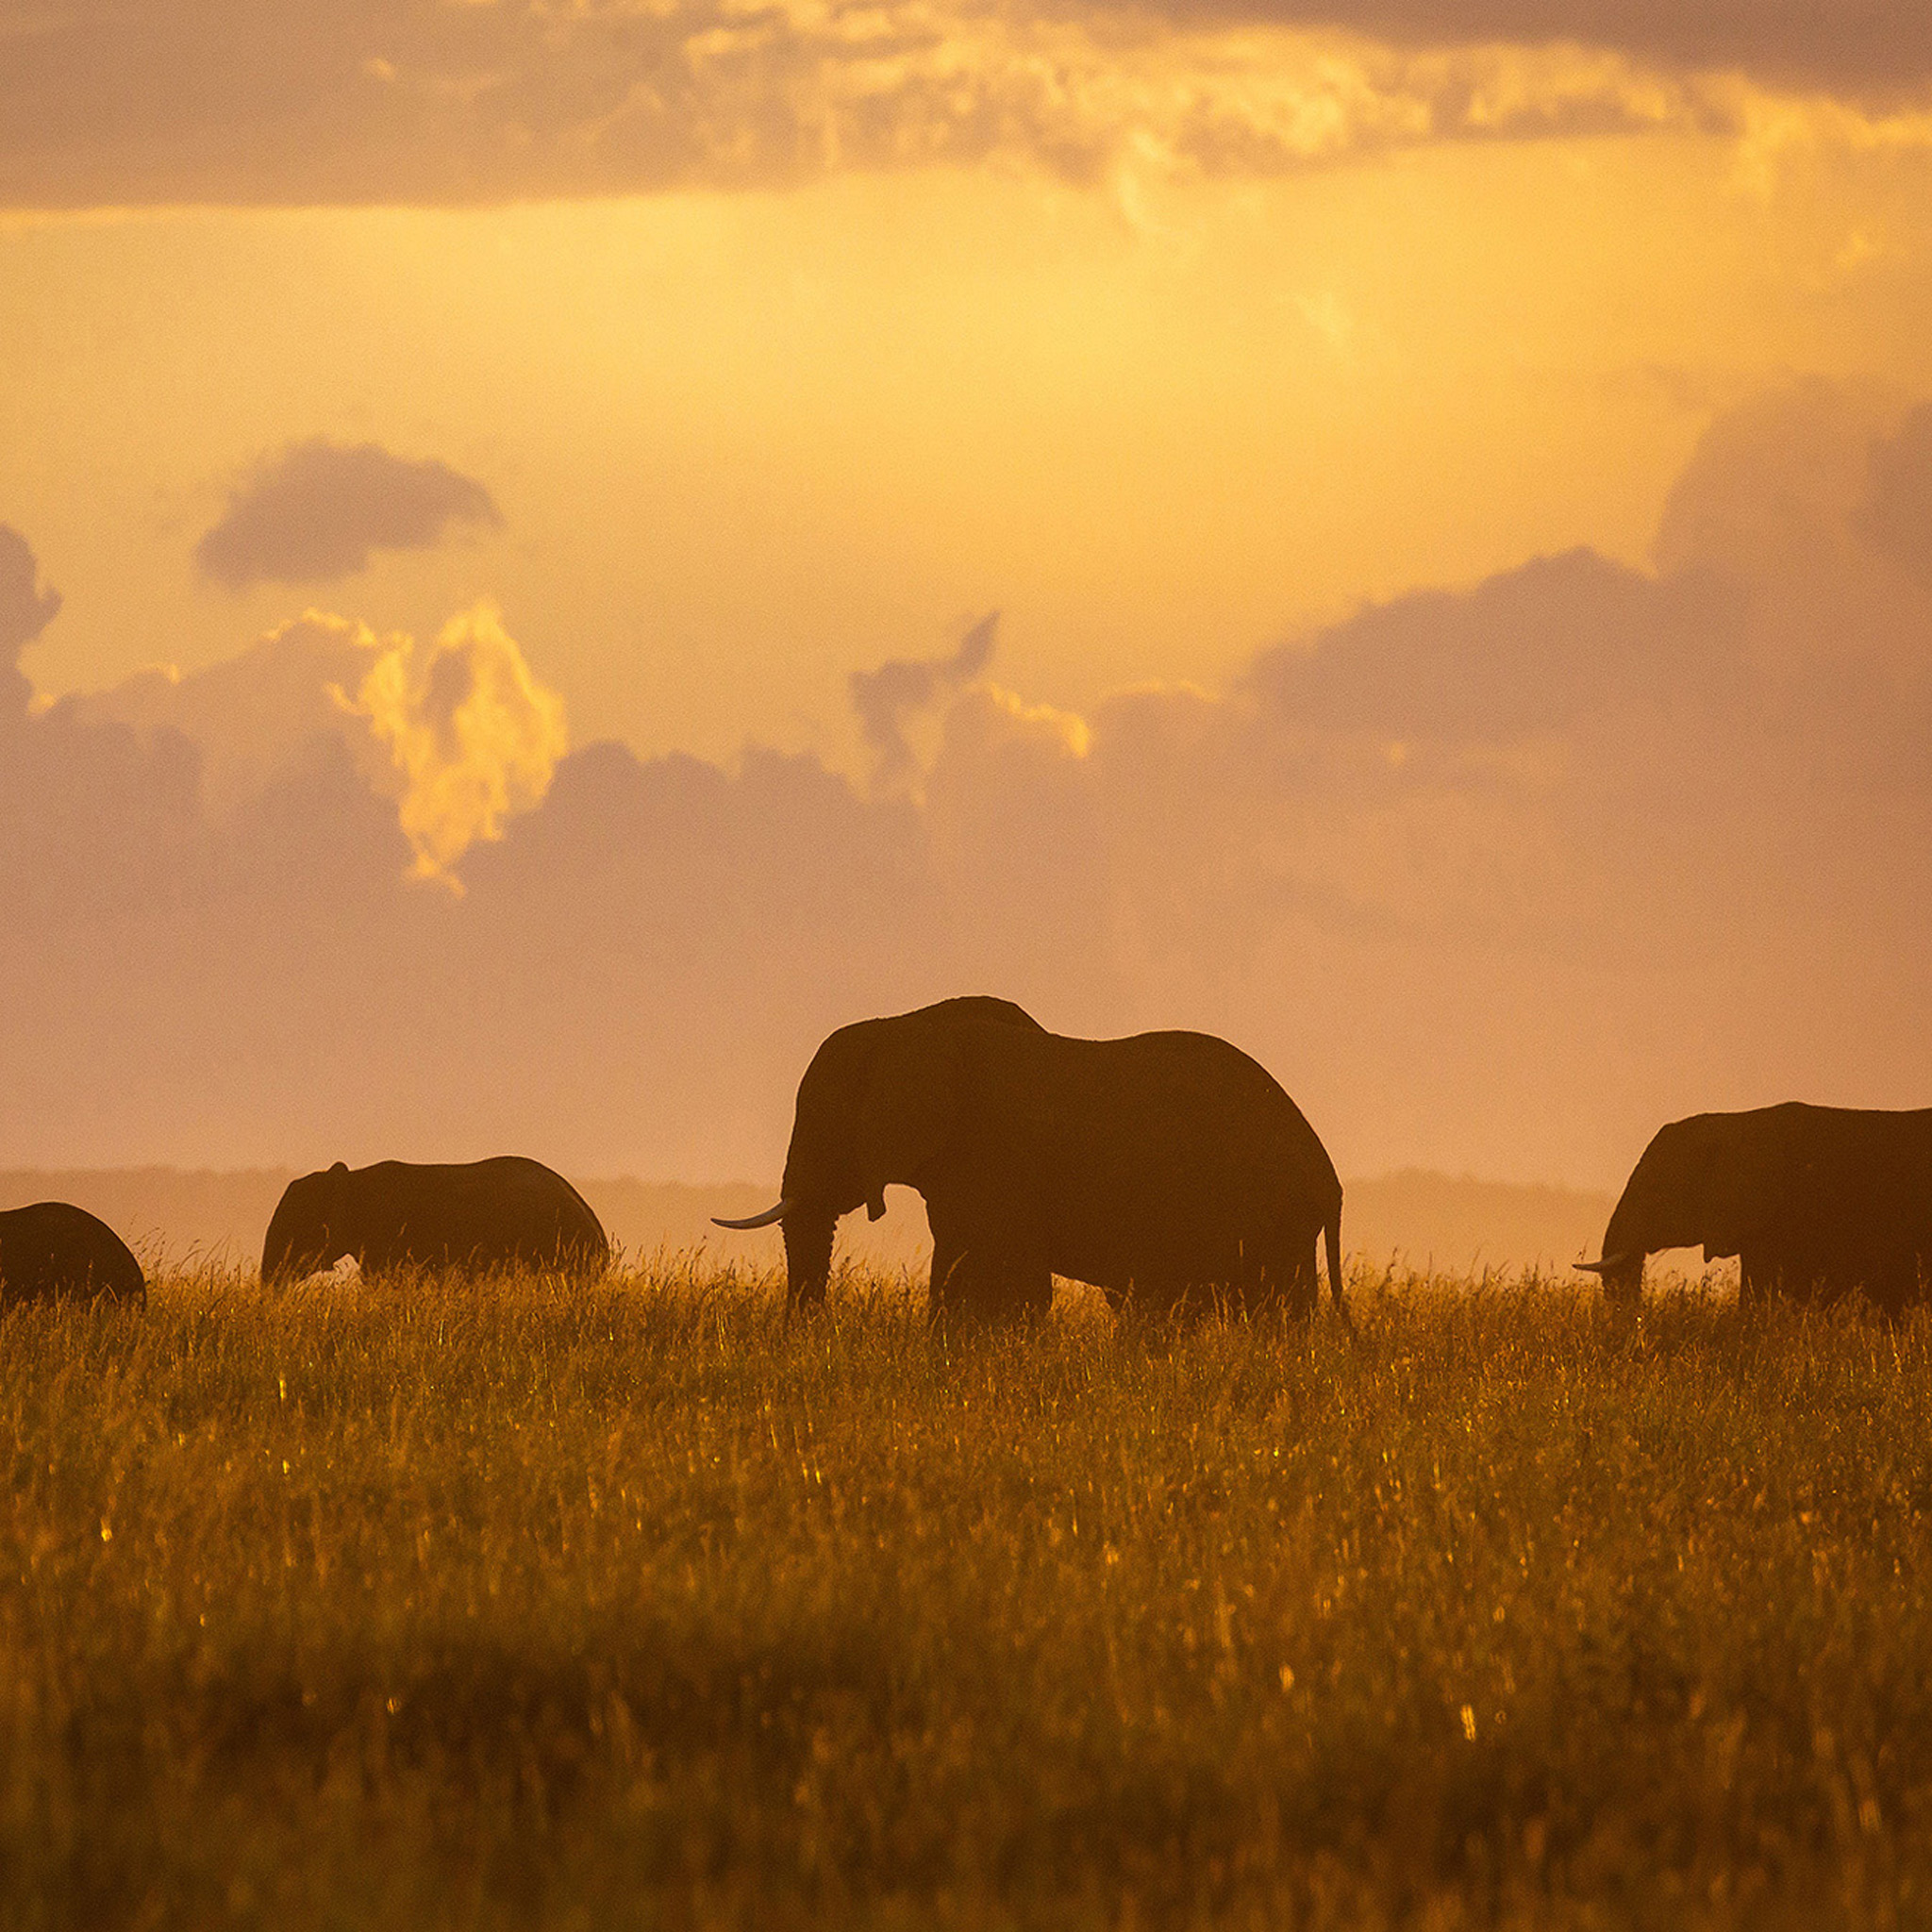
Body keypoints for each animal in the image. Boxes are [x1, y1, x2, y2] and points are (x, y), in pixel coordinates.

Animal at [716, 999, 1349, 1325]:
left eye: (827, 1125)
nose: (809, 1333)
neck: (904, 1026)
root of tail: (1330, 1177)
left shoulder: (993, 1157)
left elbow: (998, 1283)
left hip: (1274, 1216)